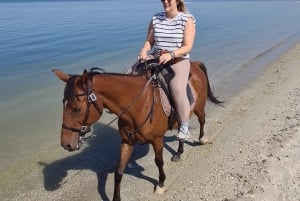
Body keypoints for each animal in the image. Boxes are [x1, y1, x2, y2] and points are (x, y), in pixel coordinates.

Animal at [52, 60, 221, 201]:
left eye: (76, 108)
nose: (66, 144)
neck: (138, 105)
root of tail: (195, 64)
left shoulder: (157, 140)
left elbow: (159, 162)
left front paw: (160, 184)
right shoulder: (127, 142)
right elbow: (119, 172)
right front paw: (116, 198)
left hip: (198, 107)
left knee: (202, 120)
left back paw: (202, 139)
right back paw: (178, 153)